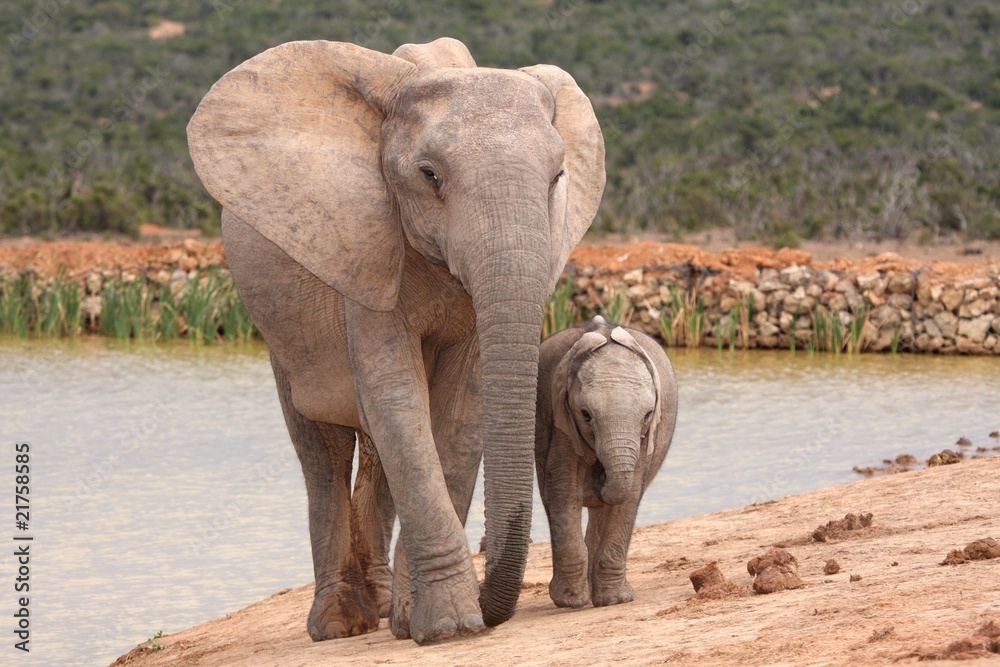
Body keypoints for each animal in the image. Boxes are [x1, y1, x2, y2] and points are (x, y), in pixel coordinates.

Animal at [186, 37, 605, 644]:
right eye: (429, 176)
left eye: (557, 177)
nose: (493, 603)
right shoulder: (362, 249)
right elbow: (397, 399)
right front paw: (452, 625)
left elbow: (457, 413)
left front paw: (419, 622)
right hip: (277, 328)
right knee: (324, 449)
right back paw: (340, 623)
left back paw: (383, 607)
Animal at [534, 316, 677, 608]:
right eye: (586, 414)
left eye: (648, 415)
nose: (599, 477)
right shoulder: (561, 418)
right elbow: (562, 490)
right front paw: (571, 602)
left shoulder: (646, 437)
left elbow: (629, 494)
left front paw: (615, 600)